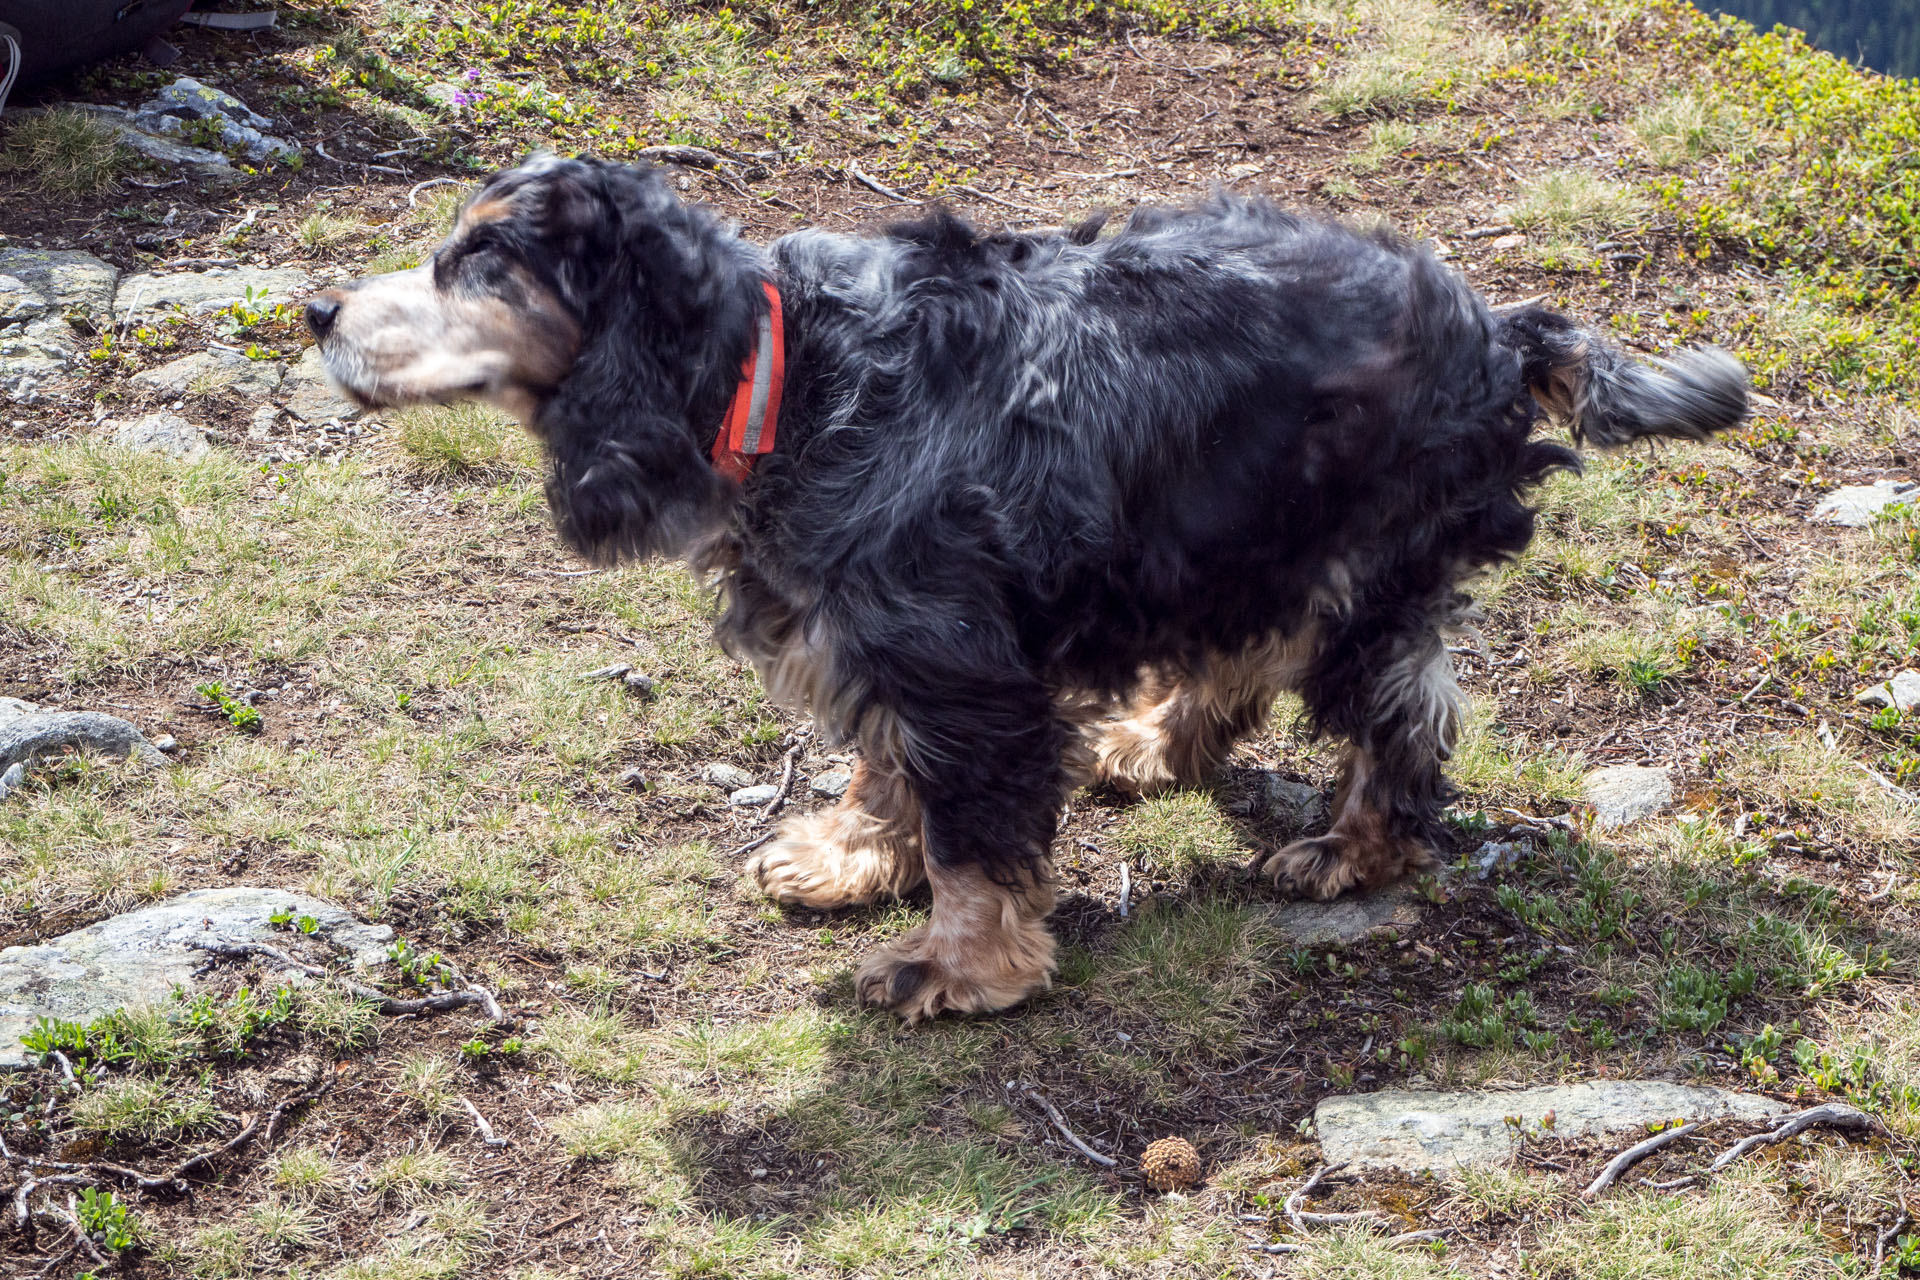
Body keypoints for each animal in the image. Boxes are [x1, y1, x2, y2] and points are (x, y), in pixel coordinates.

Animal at [303, 155, 1758, 1028]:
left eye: (482, 263)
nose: (316, 310)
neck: (784, 376)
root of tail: (1501, 331)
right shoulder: (885, 643)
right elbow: (886, 770)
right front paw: (848, 855)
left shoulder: (961, 668)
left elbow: (975, 836)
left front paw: (961, 966)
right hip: (1234, 533)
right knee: (1242, 655)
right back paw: (1154, 741)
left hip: (1365, 568)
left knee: (1402, 719)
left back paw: (1351, 849)